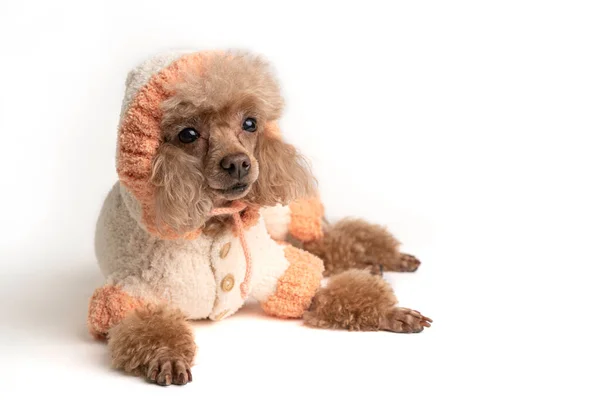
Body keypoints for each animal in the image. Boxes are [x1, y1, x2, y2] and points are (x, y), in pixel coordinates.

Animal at [86, 49, 428, 384]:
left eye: (250, 123)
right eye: (188, 134)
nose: (238, 163)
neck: (218, 220)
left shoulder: (275, 270)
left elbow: (319, 287)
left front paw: (388, 313)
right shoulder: (134, 293)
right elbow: (141, 323)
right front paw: (165, 355)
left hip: (281, 217)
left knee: (326, 236)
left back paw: (384, 257)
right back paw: (372, 264)